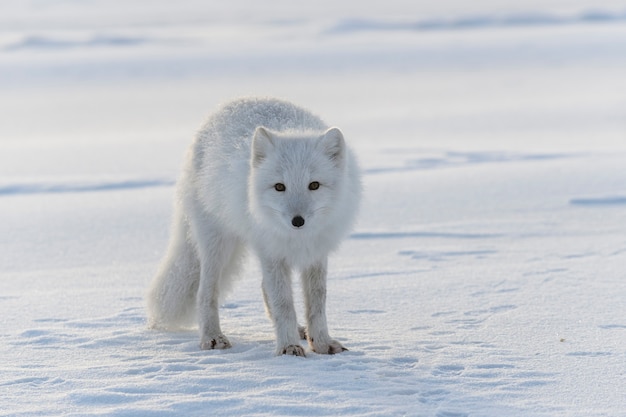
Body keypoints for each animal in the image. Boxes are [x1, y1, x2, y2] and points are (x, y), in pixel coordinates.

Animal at [146, 96, 358, 354]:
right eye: (279, 187)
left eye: (314, 185)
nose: (297, 221)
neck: (297, 240)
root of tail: (231, 103)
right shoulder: (271, 252)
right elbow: (283, 304)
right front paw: (288, 348)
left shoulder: (316, 254)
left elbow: (316, 304)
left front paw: (321, 343)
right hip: (217, 245)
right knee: (205, 293)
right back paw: (212, 337)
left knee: (264, 288)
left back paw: (299, 330)